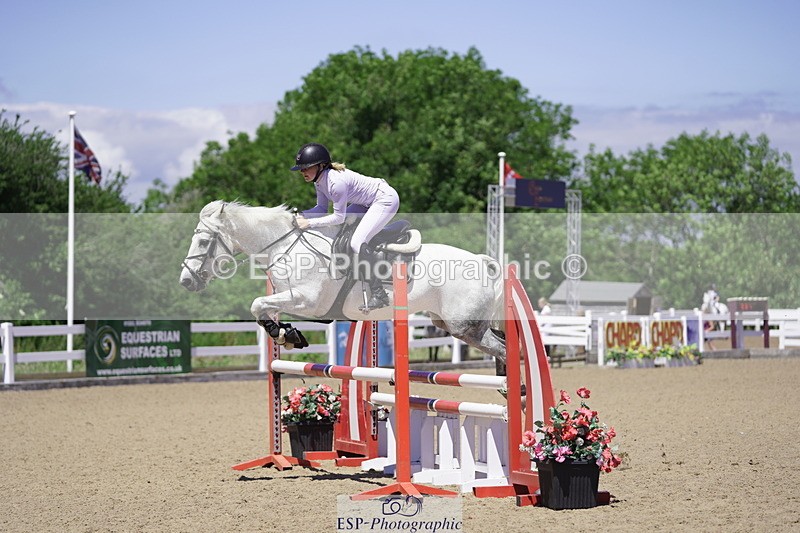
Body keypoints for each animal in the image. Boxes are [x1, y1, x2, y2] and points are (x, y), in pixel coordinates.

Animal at [179, 200, 508, 362]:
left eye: (204, 241)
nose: (186, 281)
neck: (285, 245)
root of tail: (483, 260)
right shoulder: (288, 297)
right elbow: (264, 310)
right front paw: (287, 335)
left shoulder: (307, 301)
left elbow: (257, 303)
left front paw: (286, 334)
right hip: (450, 323)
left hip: (465, 326)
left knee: (505, 349)